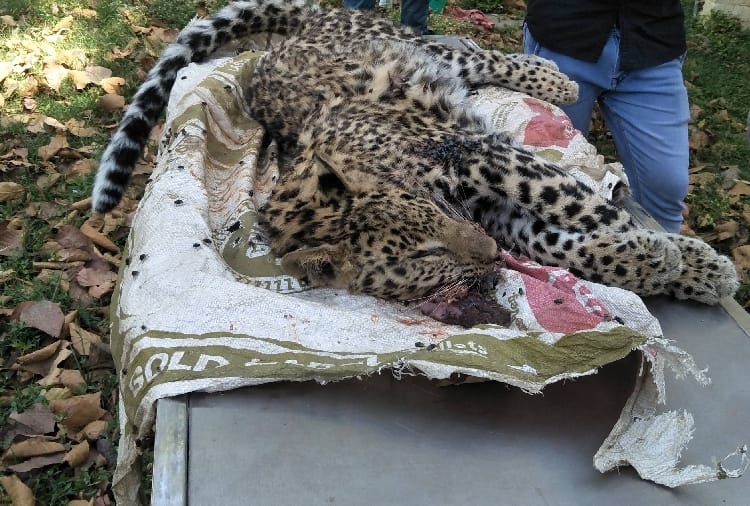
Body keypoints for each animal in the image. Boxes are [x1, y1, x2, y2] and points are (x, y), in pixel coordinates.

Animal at [91, 0, 738, 306]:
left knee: (475, 54)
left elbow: (581, 205)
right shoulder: (493, 211)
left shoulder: (478, 153)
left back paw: (556, 79)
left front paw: (686, 259)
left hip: (405, 48)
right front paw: (669, 264)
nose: (489, 258)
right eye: (426, 257)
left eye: (430, 212)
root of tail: (289, 38)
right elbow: (569, 242)